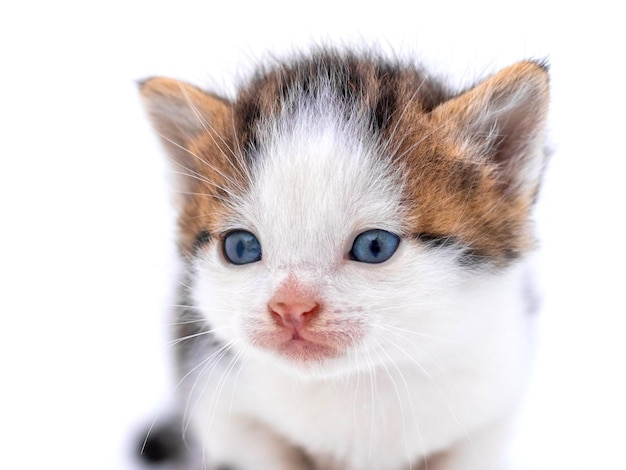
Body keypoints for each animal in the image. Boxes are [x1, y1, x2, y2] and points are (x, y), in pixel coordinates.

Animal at [139, 50, 548, 470]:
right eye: (241, 248)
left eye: (374, 246)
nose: (291, 307)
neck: (355, 382)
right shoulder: (221, 405)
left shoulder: (489, 404)